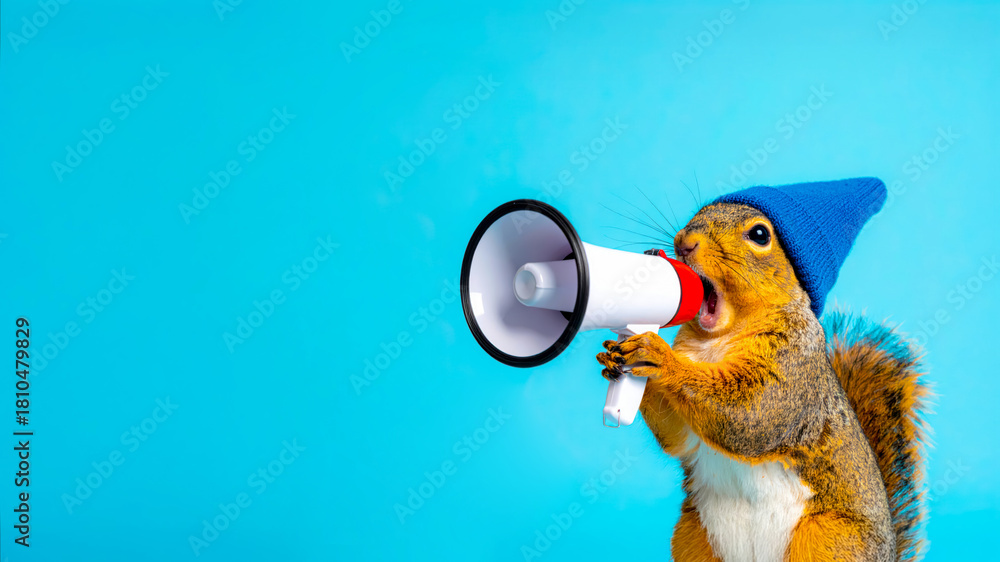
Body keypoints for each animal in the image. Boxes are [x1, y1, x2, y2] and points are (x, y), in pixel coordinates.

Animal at [596, 179, 930, 562]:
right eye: (700, 212)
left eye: (759, 234)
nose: (684, 242)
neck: (717, 340)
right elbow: (679, 436)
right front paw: (615, 358)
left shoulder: (793, 368)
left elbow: (750, 416)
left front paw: (658, 356)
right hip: (693, 537)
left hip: (829, 537)